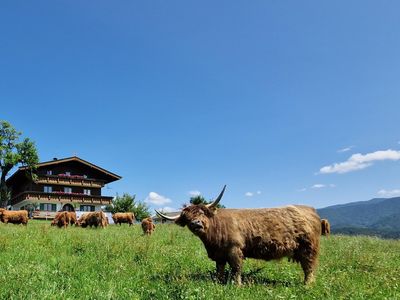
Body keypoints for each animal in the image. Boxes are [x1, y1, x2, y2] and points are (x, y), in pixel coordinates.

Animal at [156, 185, 322, 286]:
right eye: (187, 218)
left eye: (202, 212)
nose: (196, 223)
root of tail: (309, 209)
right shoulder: (219, 254)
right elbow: (219, 269)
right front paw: (219, 282)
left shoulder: (234, 250)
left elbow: (236, 269)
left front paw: (237, 285)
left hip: (308, 248)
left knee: (309, 267)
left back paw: (307, 285)